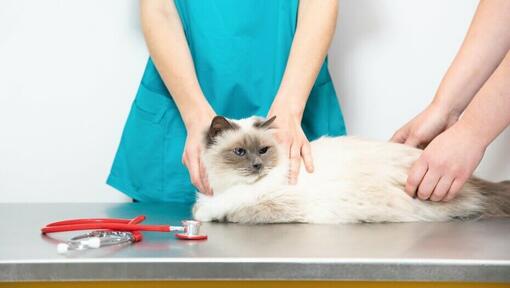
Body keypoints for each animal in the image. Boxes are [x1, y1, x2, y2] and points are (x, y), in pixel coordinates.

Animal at [191, 116, 510, 224]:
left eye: (263, 151)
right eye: (240, 152)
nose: (257, 166)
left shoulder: (272, 205)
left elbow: (230, 210)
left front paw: (207, 213)